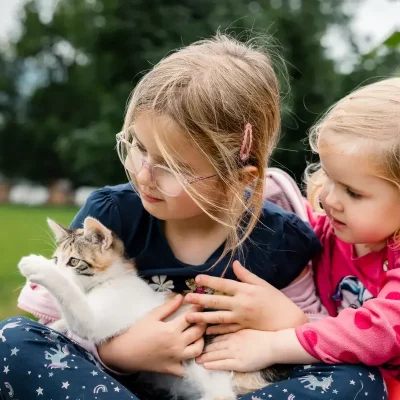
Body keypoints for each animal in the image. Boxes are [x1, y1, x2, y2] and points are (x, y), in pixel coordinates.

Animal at [18, 219, 288, 400]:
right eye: (57, 259)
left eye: (73, 261)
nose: (53, 265)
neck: (111, 280)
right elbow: (66, 316)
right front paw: (53, 324)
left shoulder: (94, 320)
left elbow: (72, 298)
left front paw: (36, 266)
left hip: (210, 365)